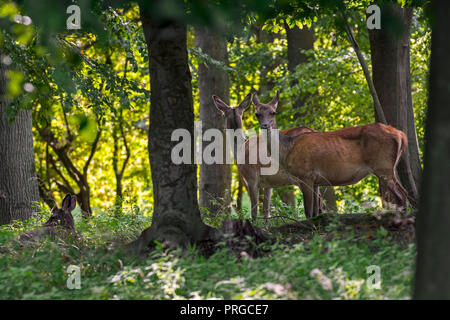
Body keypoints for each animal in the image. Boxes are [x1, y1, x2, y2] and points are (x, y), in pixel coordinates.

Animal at [211, 92, 316, 220]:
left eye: (223, 113)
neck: (240, 148)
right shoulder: (268, 184)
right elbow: (266, 211)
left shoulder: (251, 178)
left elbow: (254, 212)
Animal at [251, 91, 410, 219]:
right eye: (257, 114)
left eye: (273, 112)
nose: (265, 125)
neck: (287, 149)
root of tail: (401, 135)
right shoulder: (315, 181)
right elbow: (315, 212)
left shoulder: (305, 175)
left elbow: (308, 212)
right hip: (388, 166)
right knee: (404, 193)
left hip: (382, 165)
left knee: (402, 195)